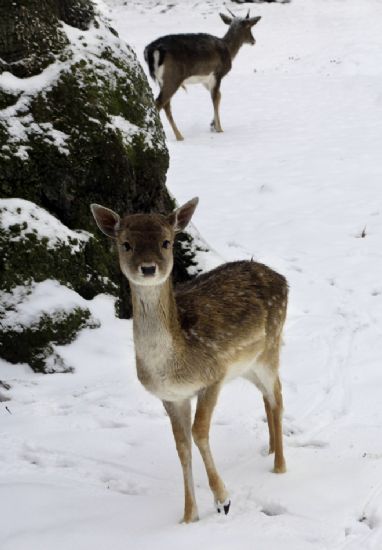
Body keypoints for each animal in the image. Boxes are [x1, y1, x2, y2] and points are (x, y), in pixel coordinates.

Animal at [90, 199, 286, 528]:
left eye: (166, 242)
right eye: (126, 244)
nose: (148, 267)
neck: (173, 365)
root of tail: (282, 279)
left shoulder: (214, 375)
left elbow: (199, 432)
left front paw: (223, 500)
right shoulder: (171, 397)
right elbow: (181, 446)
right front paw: (188, 517)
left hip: (270, 347)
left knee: (278, 395)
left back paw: (280, 466)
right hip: (248, 365)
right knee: (266, 396)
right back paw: (270, 449)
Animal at [145, 10, 262, 141]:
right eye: (249, 26)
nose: (253, 41)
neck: (228, 49)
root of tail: (152, 50)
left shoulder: (205, 80)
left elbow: (219, 95)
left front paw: (212, 124)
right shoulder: (218, 73)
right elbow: (215, 98)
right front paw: (219, 129)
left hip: (163, 80)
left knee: (166, 105)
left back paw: (179, 136)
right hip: (173, 76)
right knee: (159, 102)